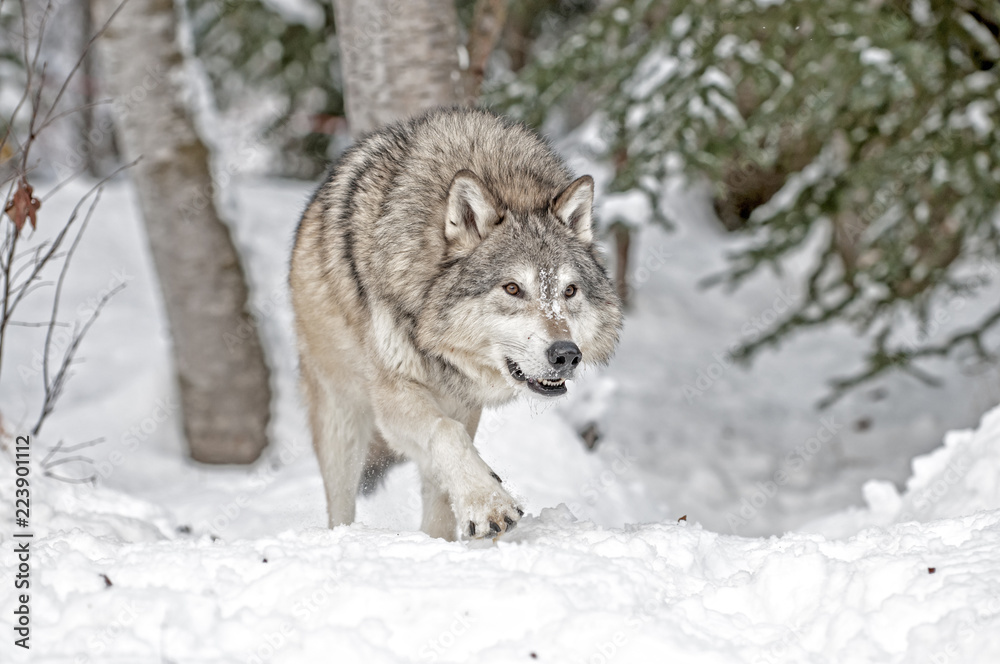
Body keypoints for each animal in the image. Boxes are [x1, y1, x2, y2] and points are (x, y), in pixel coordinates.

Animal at [290, 107, 622, 540]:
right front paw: (489, 502)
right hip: (341, 417)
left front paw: (472, 513)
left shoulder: (463, 403)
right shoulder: (393, 393)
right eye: (512, 288)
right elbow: (446, 434)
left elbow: (450, 461)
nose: (566, 354)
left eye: (569, 291)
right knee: (342, 503)